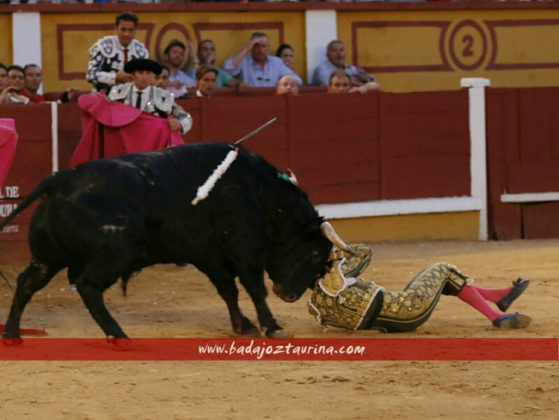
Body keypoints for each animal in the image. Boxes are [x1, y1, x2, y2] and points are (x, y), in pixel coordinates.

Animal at [0, 143, 350, 340]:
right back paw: (118, 334)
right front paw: (272, 326)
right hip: (115, 253)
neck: (262, 194)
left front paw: (243, 325)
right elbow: (254, 289)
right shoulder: (244, 251)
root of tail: (61, 179)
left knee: (27, 282)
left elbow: (228, 290)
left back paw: (12, 332)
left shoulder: (210, 255)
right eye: (314, 253)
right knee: (88, 286)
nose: (290, 295)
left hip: (49, 257)